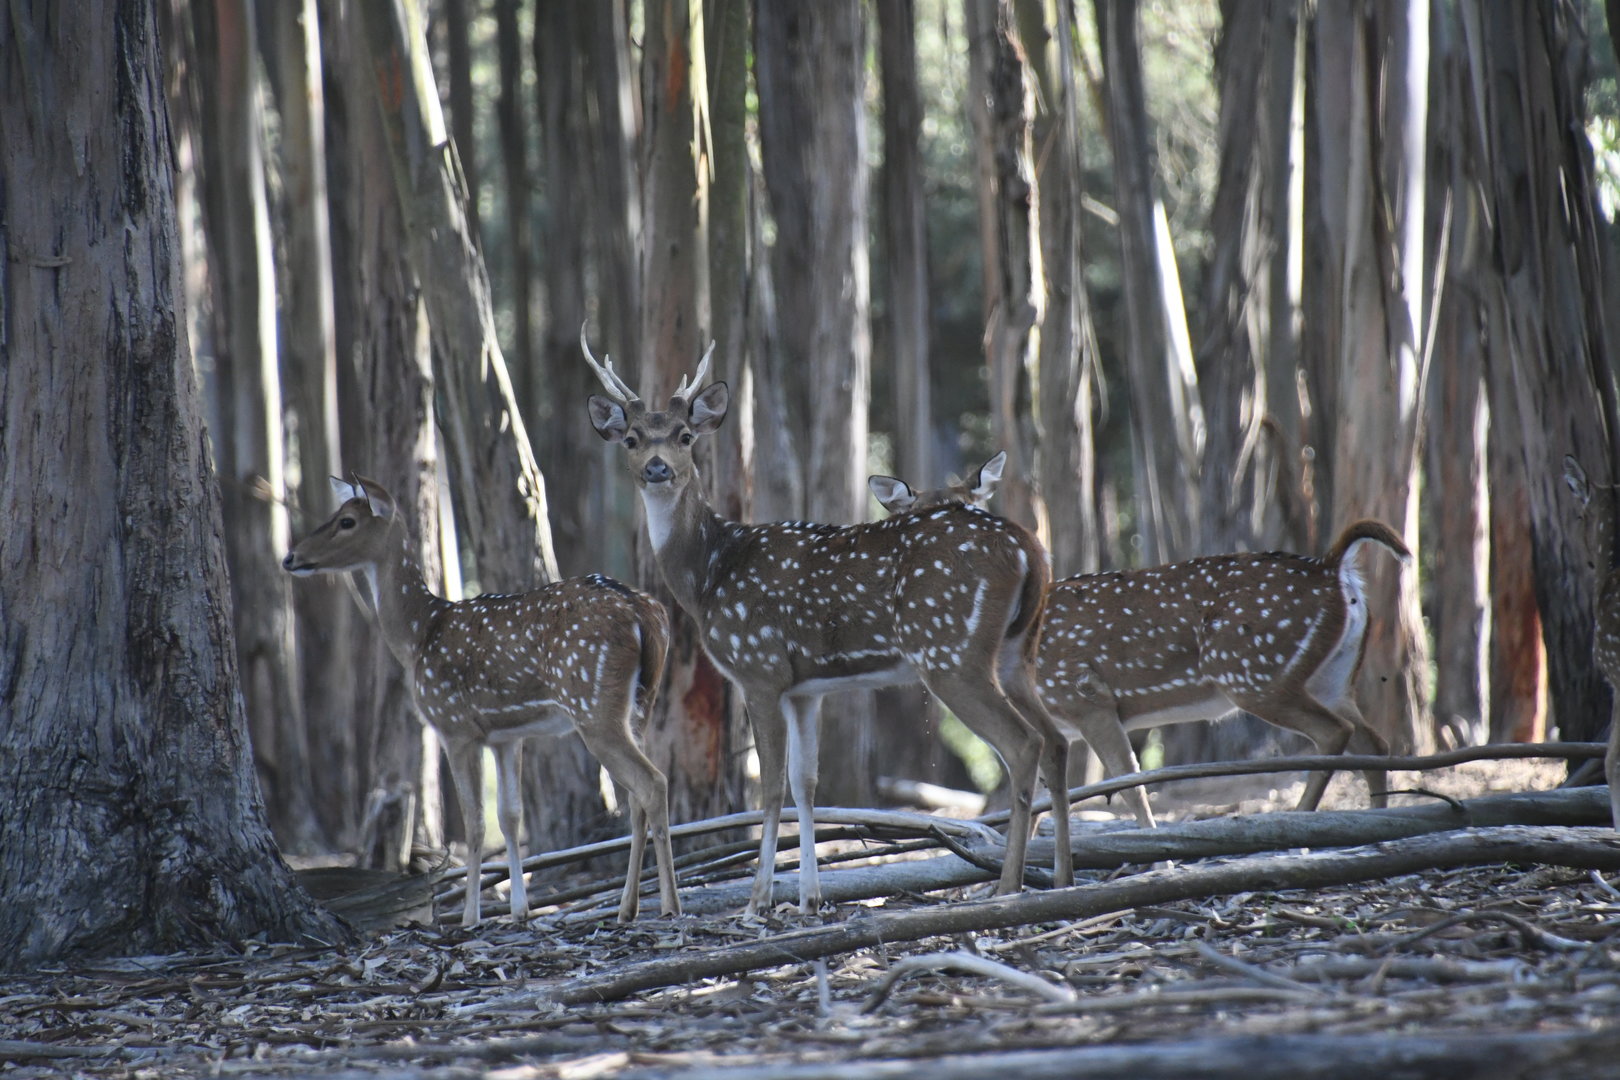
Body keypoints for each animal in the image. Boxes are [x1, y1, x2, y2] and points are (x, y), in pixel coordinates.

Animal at [283, 475, 682, 925]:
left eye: (346, 521)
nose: (291, 557)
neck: (418, 636)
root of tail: (645, 614)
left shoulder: (454, 727)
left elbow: (474, 821)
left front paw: (471, 915)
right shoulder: (507, 735)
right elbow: (510, 816)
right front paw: (519, 910)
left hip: (593, 704)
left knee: (652, 782)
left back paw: (670, 904)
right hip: (640, 705)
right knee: (636, 795)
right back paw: (627, 907)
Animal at [581, 333, 1074, 914]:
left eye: (684, 435)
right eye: (632, 439)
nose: (658, 468)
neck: (709, 577)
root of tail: (1029, 548)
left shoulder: (759, 668)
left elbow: (772, 787)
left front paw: (758, 902)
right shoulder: (805, 688)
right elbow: (806, 784)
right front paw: (809, 899)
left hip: (951, 652)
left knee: (1023, 744)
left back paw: (1007, 885)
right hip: (1017, 648)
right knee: (1056, 740)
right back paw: (1061, 876)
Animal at [870, 454, 1405, 825]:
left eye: (967, 508)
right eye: (916, 513)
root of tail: (1335, 569)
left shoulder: (1086, 696)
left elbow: (1132, 787)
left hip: (1254, 671)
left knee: (1333, 733)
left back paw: (1301, 817)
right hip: (1332, 676)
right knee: (1374, 740)